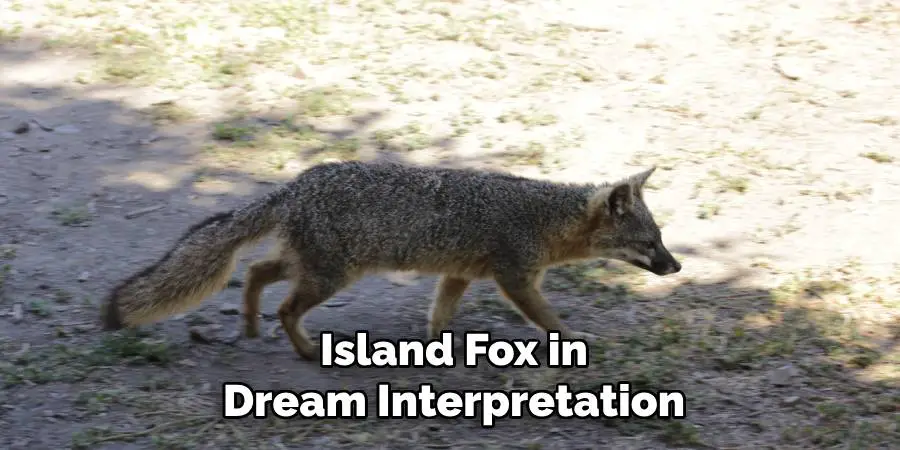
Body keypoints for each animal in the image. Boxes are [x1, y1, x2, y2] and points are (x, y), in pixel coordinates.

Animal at [101, 160, 681, 360]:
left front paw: (436, 346)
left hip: (311, 264)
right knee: (285, 306)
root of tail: (297, 183)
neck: (541, 216)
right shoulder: (516, 278)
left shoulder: (458, 274)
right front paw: (573, 339)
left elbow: (440, 314)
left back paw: (248, 324)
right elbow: (549, 319)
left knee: (254, 271)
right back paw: (306, 351)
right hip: (329, 274)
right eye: (650, 243)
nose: (676, 267)